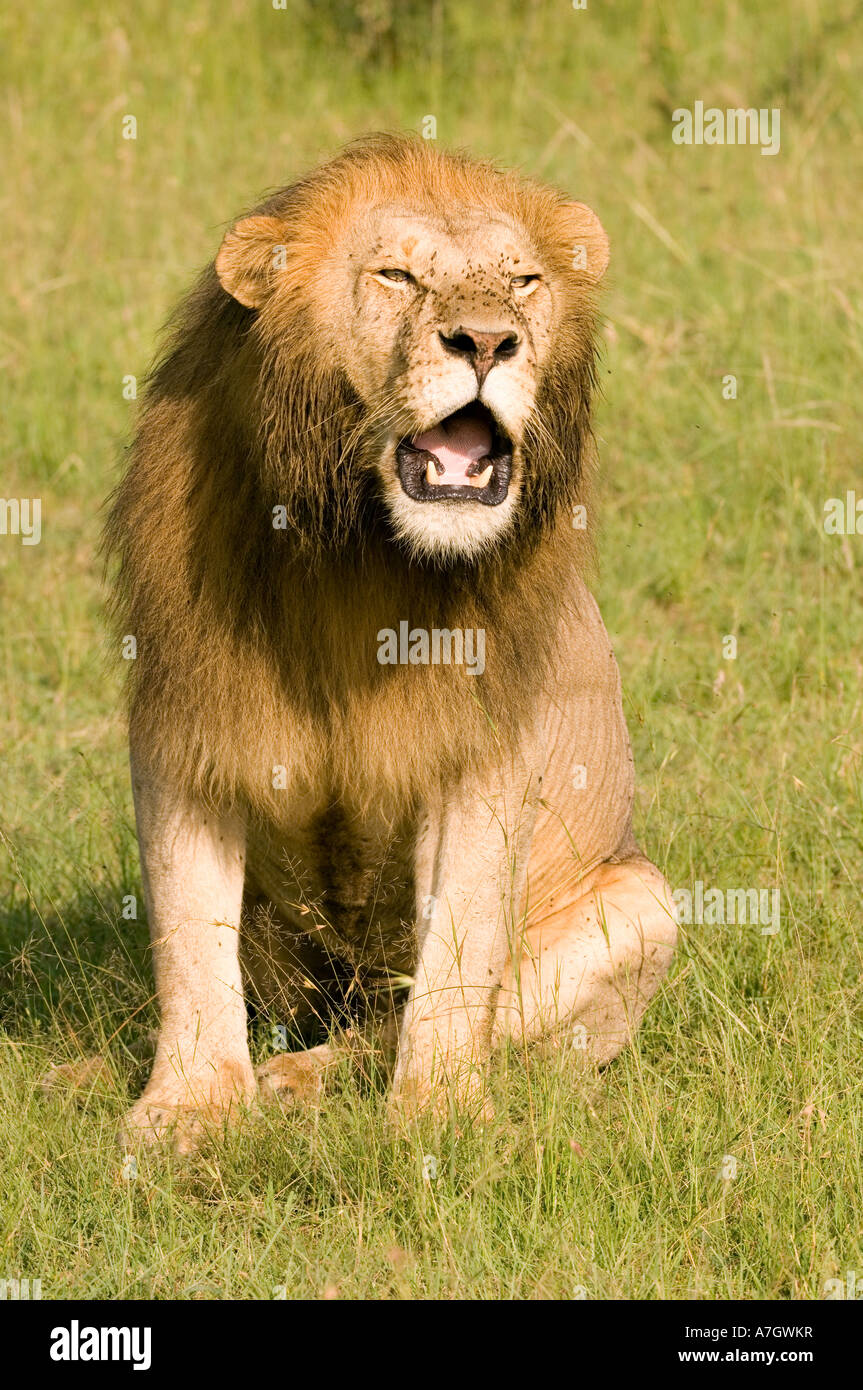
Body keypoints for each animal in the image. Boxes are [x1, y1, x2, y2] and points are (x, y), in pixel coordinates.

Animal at [104, 133, 677, 1150]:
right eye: (397, 276)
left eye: (524, 281)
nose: (487, 342)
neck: (362, 553)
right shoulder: (189, 720)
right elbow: (188, 940)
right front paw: (187, 1110)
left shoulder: (481, 753)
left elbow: (458, 952)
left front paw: (440, 1117)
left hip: (645, 905)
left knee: (402, 1020)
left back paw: (297, 1080)